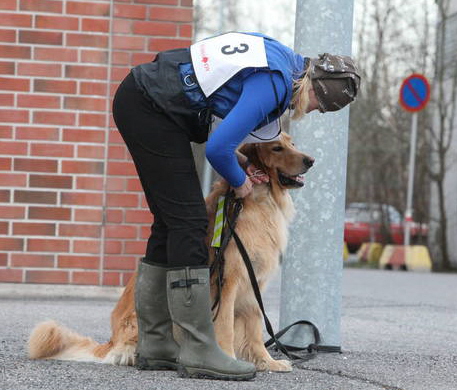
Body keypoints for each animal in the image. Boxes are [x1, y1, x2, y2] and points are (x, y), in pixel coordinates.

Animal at [27, 133, 314, 374]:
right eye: (277, 148)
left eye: (292, 143)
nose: (310, 160)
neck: (259, 200)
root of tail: (110, 340)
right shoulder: (227, 280)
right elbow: (226, 328)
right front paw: (230, 359)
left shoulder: (255, 282)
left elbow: (255, 331)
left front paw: (268, 362)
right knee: (127, 348)